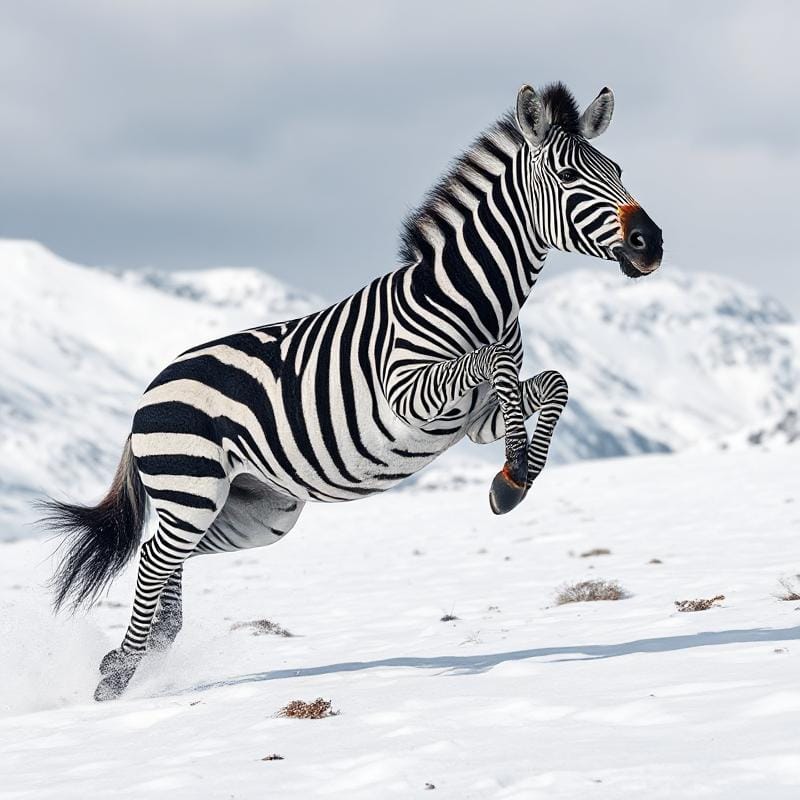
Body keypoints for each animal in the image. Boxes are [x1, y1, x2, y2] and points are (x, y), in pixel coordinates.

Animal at [41, 82, 663, 701]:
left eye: (617, 169)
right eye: (568, 176)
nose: (650, 242)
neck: (474, 298)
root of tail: (150, 390)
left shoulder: (472, 418)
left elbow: (553, 383)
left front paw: (517, 476)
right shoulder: (407, 392)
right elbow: (495, 362)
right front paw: (513, 471)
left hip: (257, 510)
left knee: (169, 557)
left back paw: (149, 647)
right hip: (191, 485)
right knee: (152, 556)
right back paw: (117, 677)